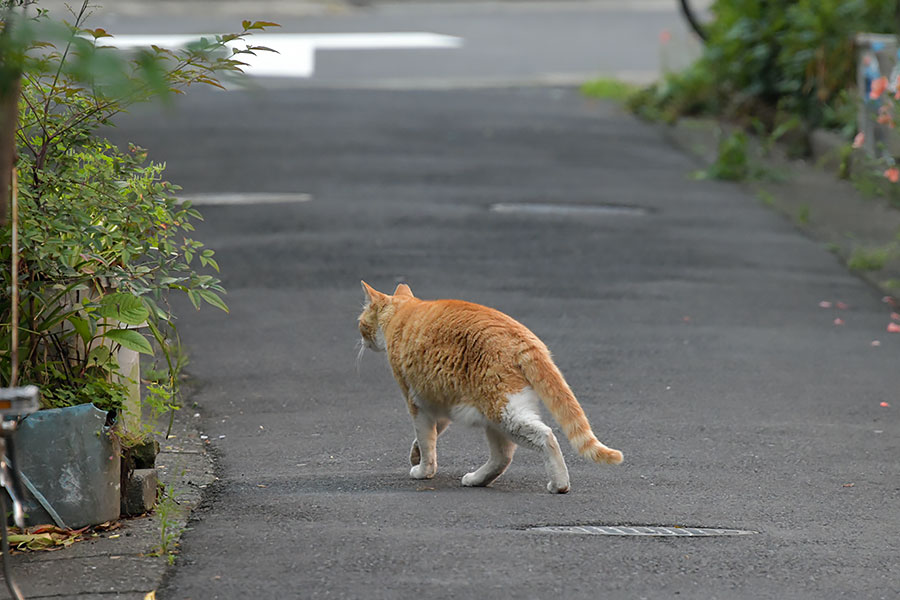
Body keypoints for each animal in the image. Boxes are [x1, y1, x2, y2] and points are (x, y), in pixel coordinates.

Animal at [356, 282, 624, 492]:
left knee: (545, 436)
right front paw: (415, 455)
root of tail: (524, 337)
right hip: (493, 415)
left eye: (360, 322)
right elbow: (429, 435)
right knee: (502, 456)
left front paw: (423, 470)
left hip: (503, 412)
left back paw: (559, 484)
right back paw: (477, 479)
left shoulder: (416, 402)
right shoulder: (437, 400)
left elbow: (426, 441)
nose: (360, 339)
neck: (402, 312)